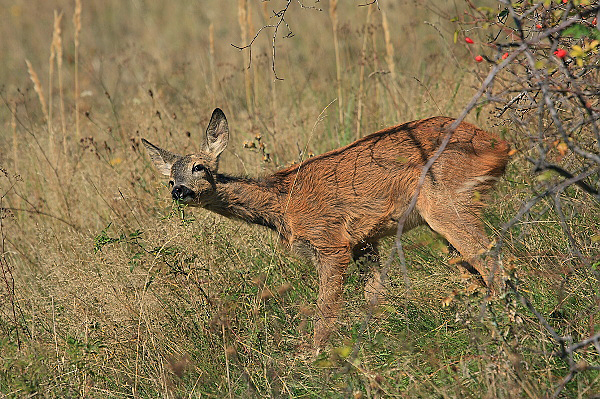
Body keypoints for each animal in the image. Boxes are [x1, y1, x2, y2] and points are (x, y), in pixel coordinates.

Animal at [143, 108, 508, 348]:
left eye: (198, 167)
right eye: (170, 178)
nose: (179, 191)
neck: (282, 204)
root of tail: (499, 145)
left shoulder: (331, 241)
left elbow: (326, 310)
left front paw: (316, 358)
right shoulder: (364, 241)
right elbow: (373, 295)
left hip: (448, 201)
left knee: (494, 259)